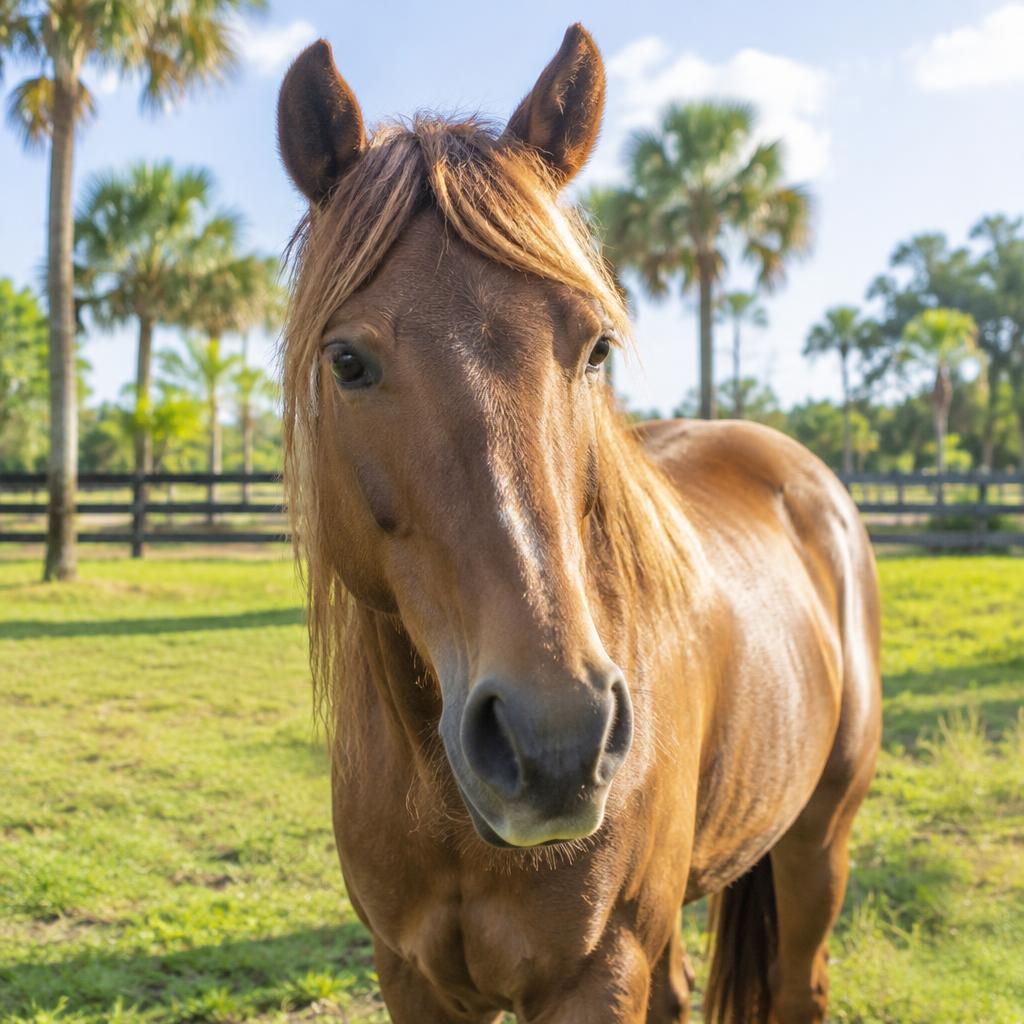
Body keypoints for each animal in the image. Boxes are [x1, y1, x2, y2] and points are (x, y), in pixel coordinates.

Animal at [276, 24, 881, 1023]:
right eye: (348, 361)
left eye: (595, 346)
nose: (555, 742)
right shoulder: (411, 975)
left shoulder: (596, 975)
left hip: (817, 841)